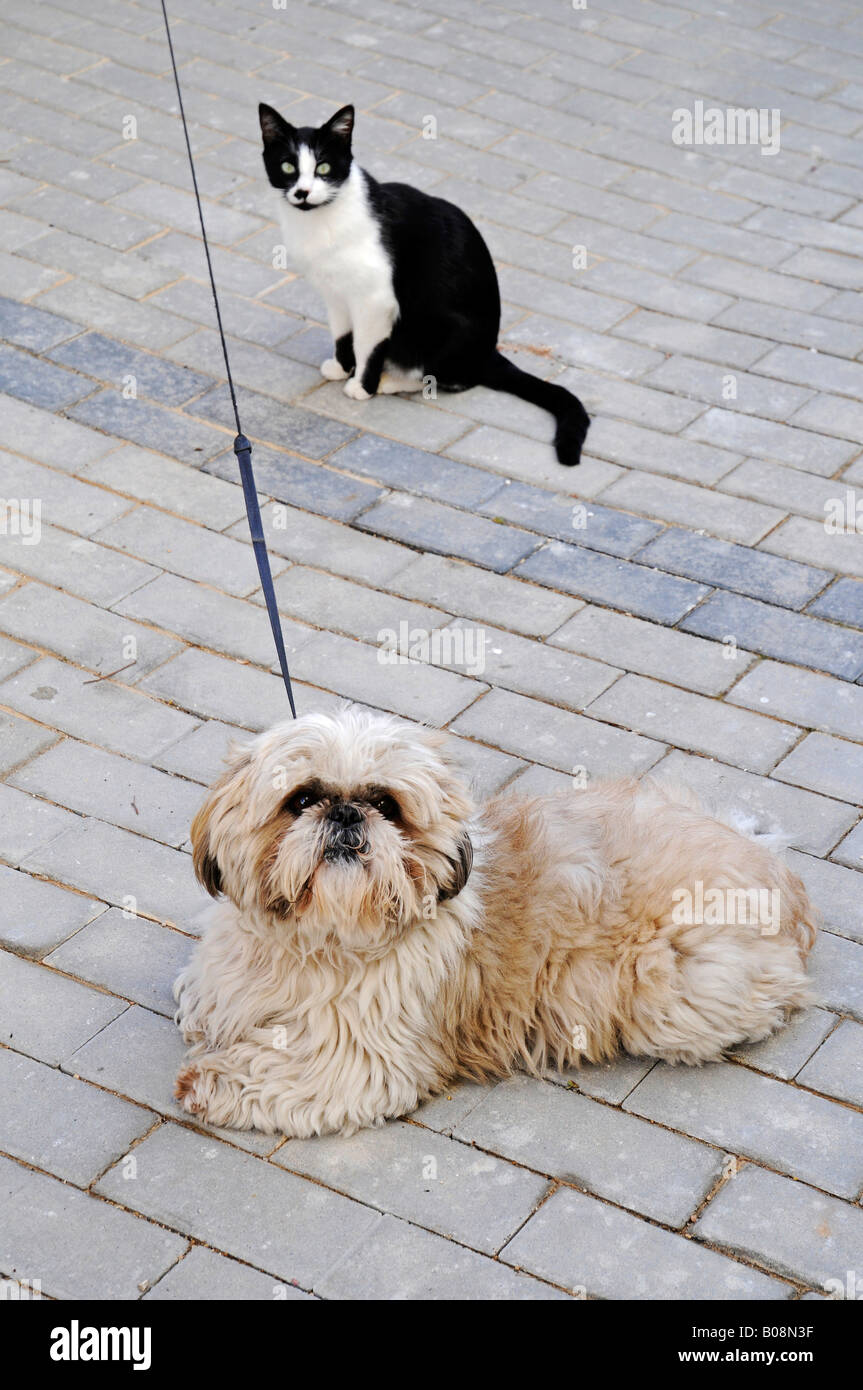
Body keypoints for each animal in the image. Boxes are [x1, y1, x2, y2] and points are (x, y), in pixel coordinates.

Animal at [173, 711, 817, 1134]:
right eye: (302, 800)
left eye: (386, 805)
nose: (347, 812)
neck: (318, 937)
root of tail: (773, 866)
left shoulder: (357, 1061)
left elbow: (270, 1071)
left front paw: (208, 1082)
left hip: (671, 988)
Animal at [258, 100, 589, 467]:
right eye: (288, 166)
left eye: (324, 167)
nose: (302, 192)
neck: (321, 222)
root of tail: (489, 352)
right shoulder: (336, 293)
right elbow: (343, 336)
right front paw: (343, 368)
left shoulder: (375, 300)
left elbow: (367, 345)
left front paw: (362, 385)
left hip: (438, 327)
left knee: (449, 378)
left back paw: (391, 381)